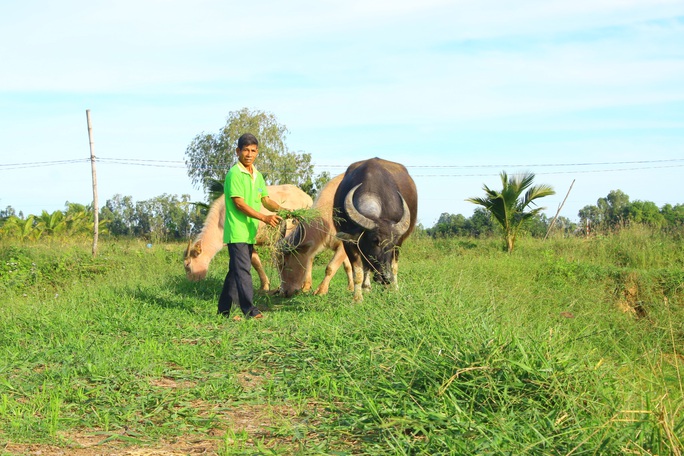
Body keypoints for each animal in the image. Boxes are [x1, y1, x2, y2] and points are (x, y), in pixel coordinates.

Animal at [183, 183, 314, 290]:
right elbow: (255, 262)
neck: (220, 222)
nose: (190, 284)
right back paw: (306, 285)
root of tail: (307, 198)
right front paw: (264, 286)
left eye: (187, 266)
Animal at [332, 159, 416, 302]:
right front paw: (358, 298)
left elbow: (392, 266)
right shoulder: (348, 243)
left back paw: (394, 288)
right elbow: (358, 272)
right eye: (375, 240)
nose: (386, 277)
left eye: (392, 244)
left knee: (393, 267)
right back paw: (367, 288)